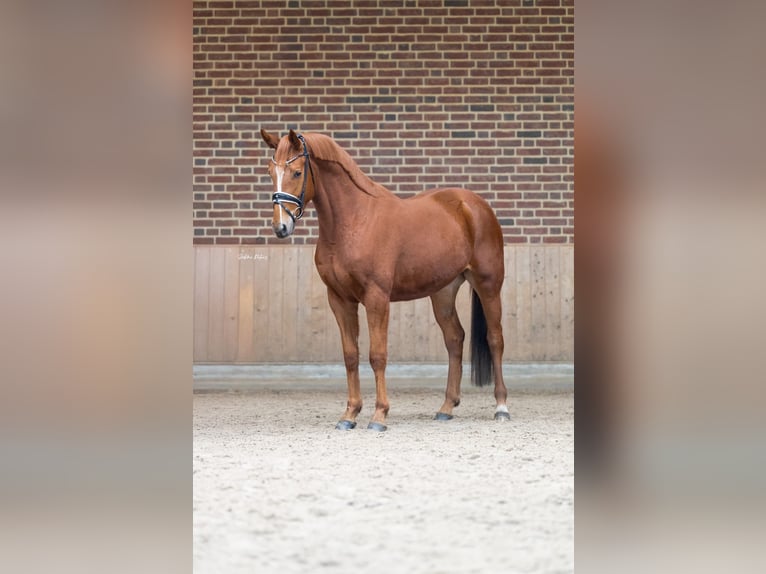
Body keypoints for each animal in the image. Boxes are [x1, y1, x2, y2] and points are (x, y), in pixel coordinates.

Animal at [260, 129, 509, 431]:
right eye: (270, 172)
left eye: (296, 172)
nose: (280, 227)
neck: (354, 220)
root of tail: (474, 205)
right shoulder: (339, 299)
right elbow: (351, 355)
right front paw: (350, 414)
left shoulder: (376, 298)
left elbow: (377, 355)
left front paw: (379, 415)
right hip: (443, 292)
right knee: (454, 339)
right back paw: (446, 407)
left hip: (488, 284)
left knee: (495, 339)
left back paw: (501, 407)